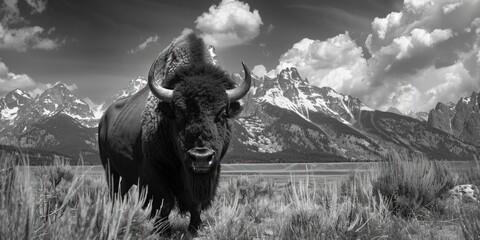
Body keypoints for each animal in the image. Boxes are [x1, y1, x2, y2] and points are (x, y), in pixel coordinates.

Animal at [99, 32, 253, 233]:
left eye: (222, 113)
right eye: (179, 112)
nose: (201, 157)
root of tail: (104, 118)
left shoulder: (211, 171)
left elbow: (195, 203)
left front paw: (194, 227)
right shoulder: (154, 171)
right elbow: (165, 202)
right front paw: (163, 230)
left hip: (125, 174)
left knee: (122, 192)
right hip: (110, 169)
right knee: (114, 192)